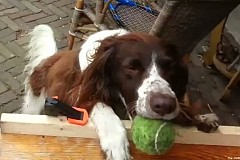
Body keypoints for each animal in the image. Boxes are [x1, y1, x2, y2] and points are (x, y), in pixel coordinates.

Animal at [21, 24, 219, 159]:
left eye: (170, 67)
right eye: (131, 67)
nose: (164, 105)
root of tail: (51, 57)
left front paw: (202, 117)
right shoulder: (79, 93)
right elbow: (99, 106)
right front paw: (116, 144)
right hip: (34, 104)